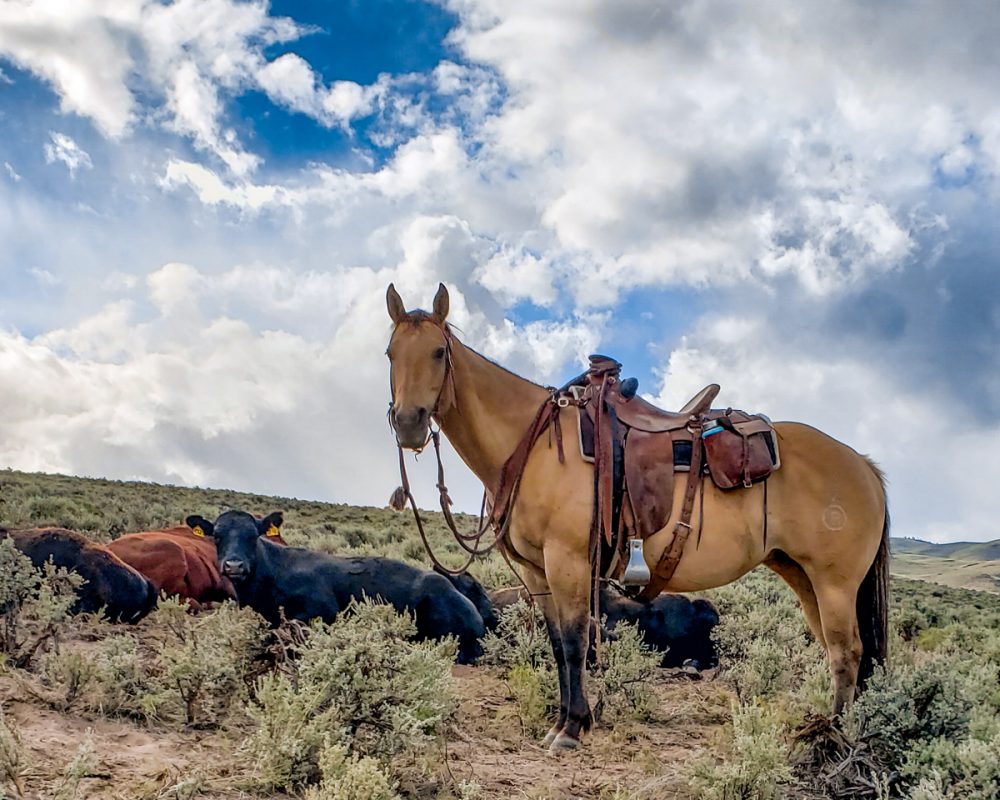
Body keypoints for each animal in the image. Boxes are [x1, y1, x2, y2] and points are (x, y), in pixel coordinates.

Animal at [384, 282, 892, 752]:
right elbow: (557, 645)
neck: (534, 444)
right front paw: (564, 721)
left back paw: (836, 738)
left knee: (847, 652)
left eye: (438, 352)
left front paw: (571, 729)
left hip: (834, 583)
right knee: (837, 651)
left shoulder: (566, 561)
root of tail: (863, 466)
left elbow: (575, 643)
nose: (409, 423)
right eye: (391, 353)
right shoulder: (536, 573)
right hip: (802, 576)